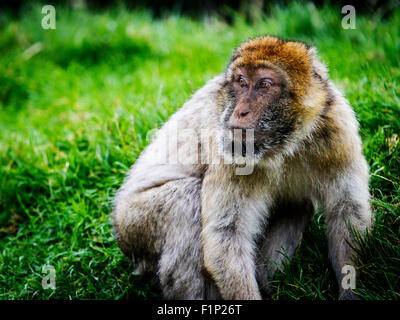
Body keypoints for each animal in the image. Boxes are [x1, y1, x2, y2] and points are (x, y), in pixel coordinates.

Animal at [111, 36, 372, 298]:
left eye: (264, 84)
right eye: (241, 82)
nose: (240, 111)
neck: (285, 145)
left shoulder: (339, 132)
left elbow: (347, 213)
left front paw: (351, 291)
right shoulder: (227, 148)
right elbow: (227, 233)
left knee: (299, 205)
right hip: (133, 224)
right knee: (185, 200)